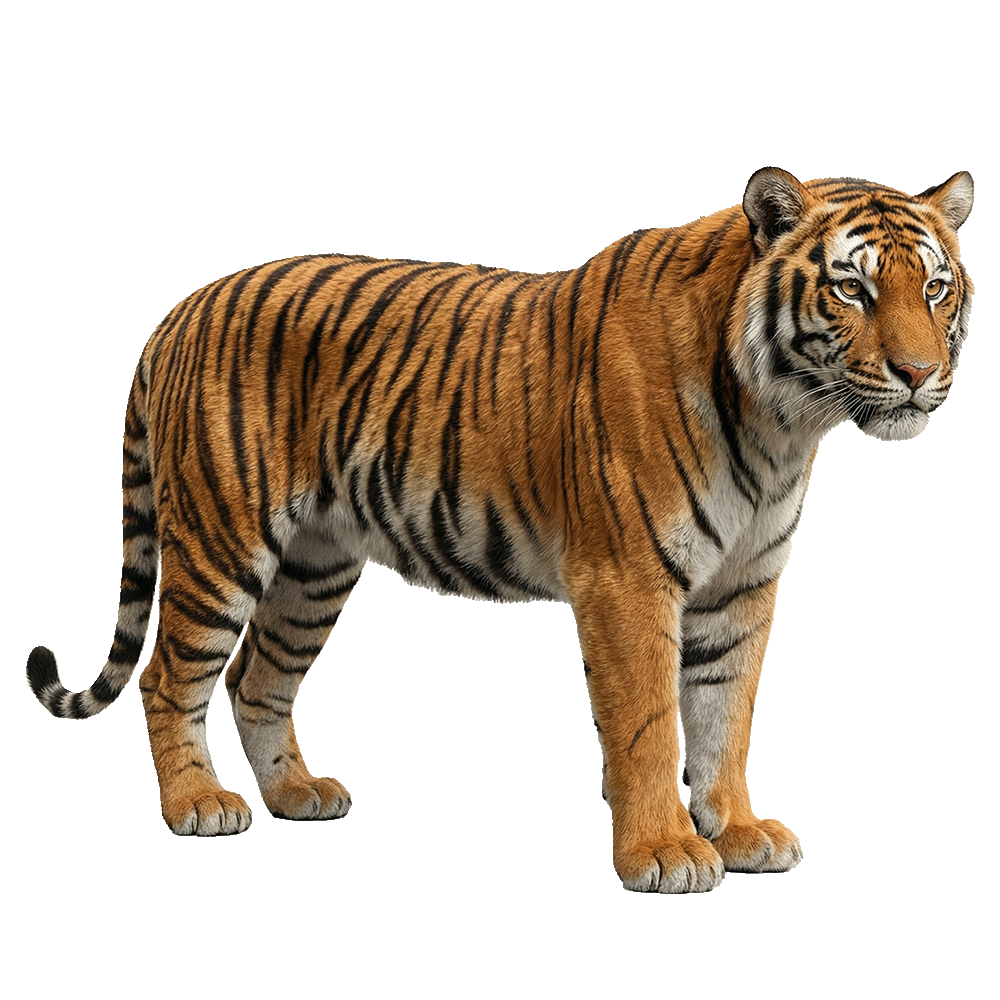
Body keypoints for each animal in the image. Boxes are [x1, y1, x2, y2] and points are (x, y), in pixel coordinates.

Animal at [26, 167, 974, 893]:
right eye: (852, 288)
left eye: (934, 287)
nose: (920, 373)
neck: (784, 422)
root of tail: (179, 310)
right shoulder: (628, 578)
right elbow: (649, 722)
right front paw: (665, 851)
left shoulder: (743, 587)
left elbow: (724, 715)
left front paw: (738, 831)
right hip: (223, 541)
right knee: (168, 677)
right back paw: (196, 806)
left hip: (314, 567)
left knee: (256, 678)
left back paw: (298, 795)